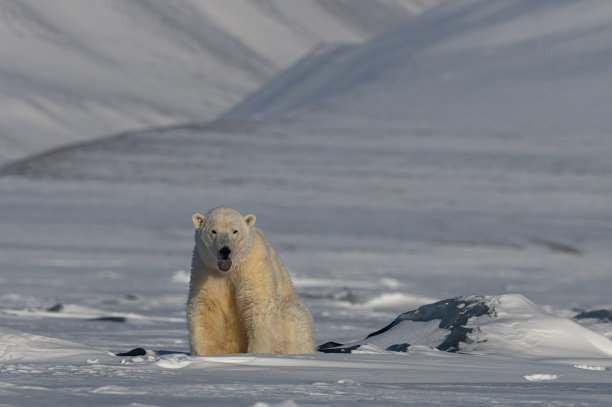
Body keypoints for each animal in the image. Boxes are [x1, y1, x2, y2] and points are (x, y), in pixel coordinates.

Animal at [186, 206, 316, 356]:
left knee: (294, 316)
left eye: (235, 231)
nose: (225, 250)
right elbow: (205, 307)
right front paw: (203, 354)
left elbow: (258, 304)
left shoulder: (253, 265)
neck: (230, 270)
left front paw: (257, 353)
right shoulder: (206, 269)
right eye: (213, 231)